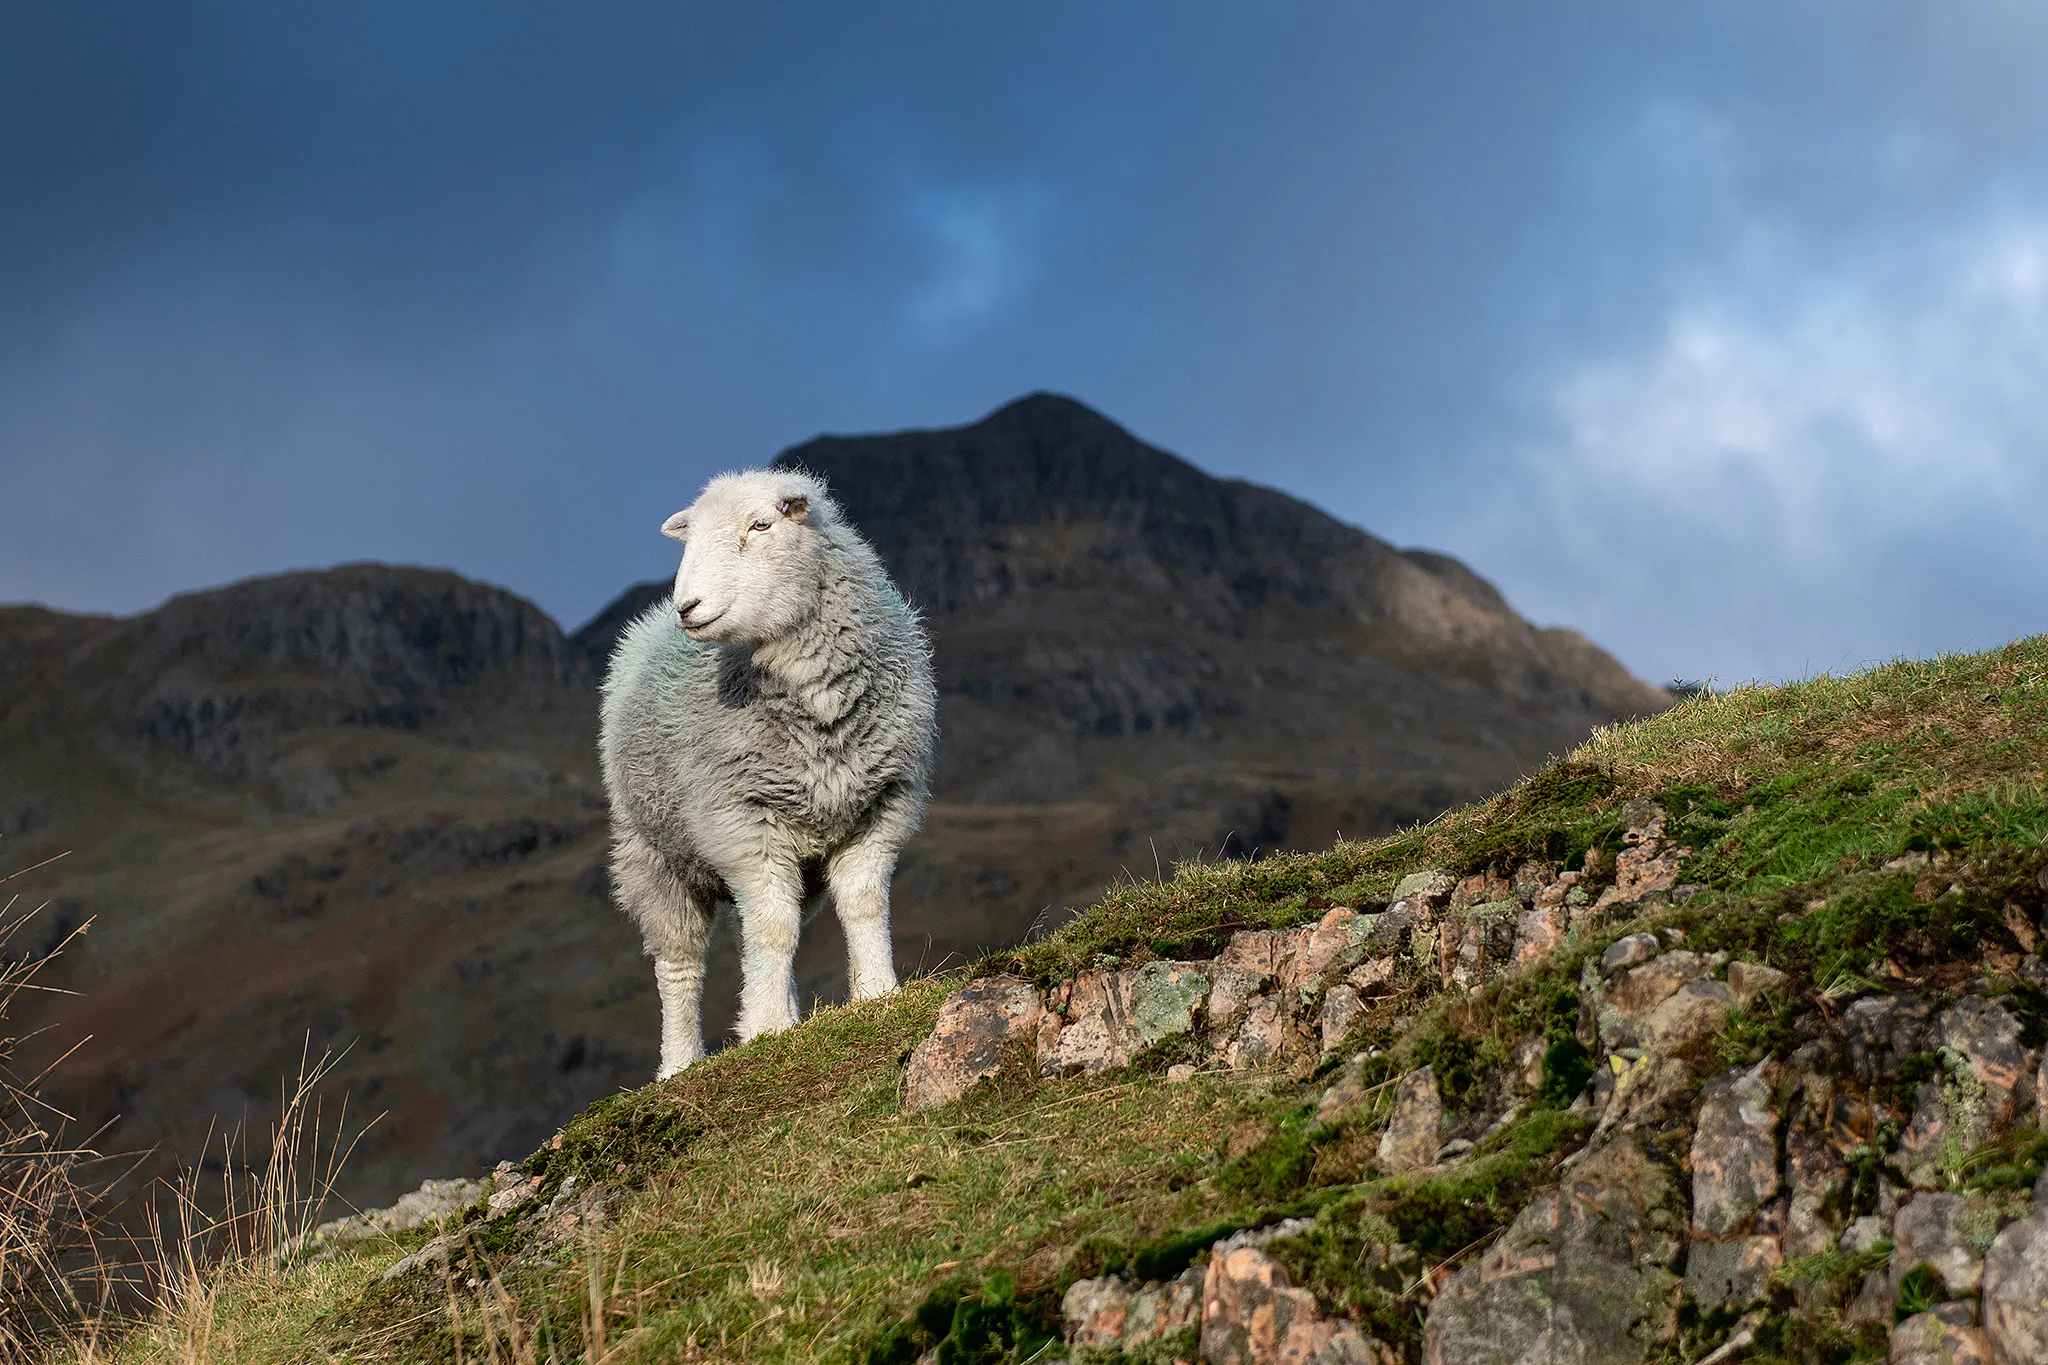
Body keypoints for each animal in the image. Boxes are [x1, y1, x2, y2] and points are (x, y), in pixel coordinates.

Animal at [598, 467, 938, 1078]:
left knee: (756, 930)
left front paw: (877, 994)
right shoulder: (744, 824)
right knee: (681, 963)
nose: (687, 605)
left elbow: (862, 904)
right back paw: (680, 1063)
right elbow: (774, 929)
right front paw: (765, 1027)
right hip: (652, 852)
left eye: (761, 525)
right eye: (689, 541)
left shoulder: (880, 807)